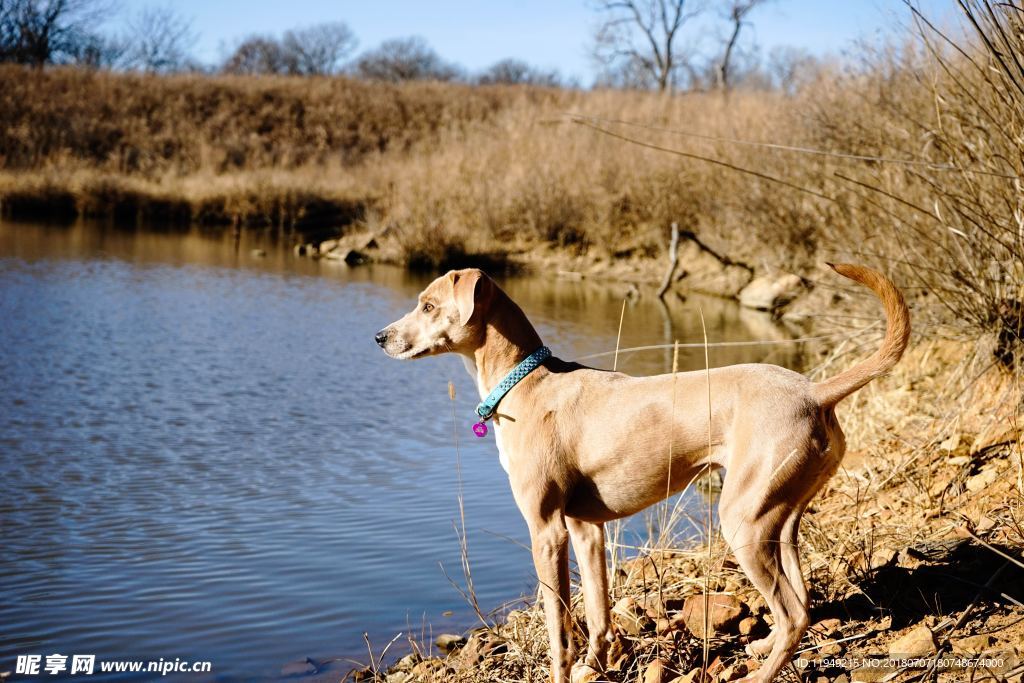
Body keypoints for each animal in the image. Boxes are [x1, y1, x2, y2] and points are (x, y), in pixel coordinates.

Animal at [376, 264, 913, 679]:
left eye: (428, 306)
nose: (380, 337)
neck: (526, 383)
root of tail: (815, 392)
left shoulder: (546, 530)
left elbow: (558, 627)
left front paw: (563, 672)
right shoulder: (585, 528)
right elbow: (597, 611)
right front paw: (596, 666)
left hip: (743, 519)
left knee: (794, 612)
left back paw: (759, 674)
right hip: (779, 518)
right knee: (800, 602)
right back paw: (762, 648)